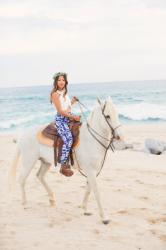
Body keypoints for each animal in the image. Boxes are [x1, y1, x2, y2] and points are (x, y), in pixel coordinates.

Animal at [8, 96, 124, 224]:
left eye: (117, 114)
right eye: (108, 116)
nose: (119, 136)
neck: (91, 139)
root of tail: (23, 134)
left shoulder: (92, 172)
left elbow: (88, 189)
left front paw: (85, 209)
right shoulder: (91, 171)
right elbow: (96, 192)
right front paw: (104, 218)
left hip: (45, 162)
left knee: (40, 176)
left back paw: (52, 200)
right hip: (28, 161)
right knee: (22, 179)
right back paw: (25, 203)